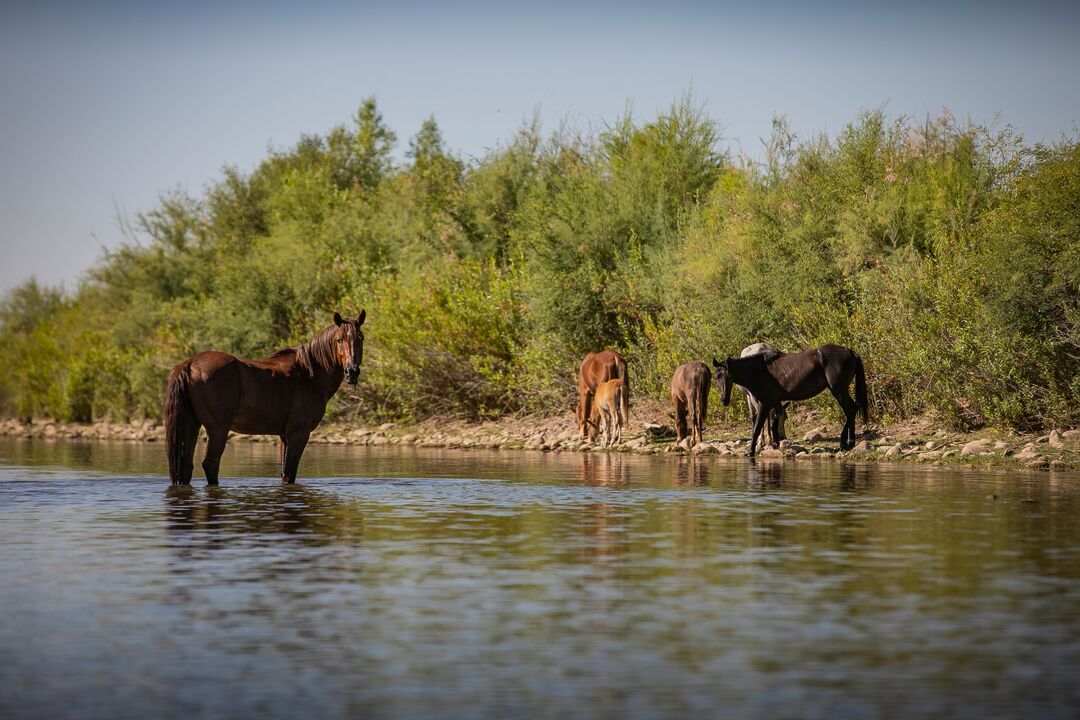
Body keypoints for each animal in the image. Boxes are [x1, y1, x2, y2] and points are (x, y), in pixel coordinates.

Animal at [163, 310, 367, 483]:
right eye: (339, 339)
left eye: (360, 339)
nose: (352, 372)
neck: (309, 375)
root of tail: (189, 364)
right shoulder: (298, 434)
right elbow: (290, 473)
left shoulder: (284, 436)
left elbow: (284, 473)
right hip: (217, 429)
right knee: (210, 464)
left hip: (192, 424)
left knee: (185, 467)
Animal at [708, 343, 868, 455]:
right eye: (716, 378)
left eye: (728, 377)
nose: (724, 400)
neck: (759, 371)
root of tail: (850, 352)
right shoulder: (774, 401)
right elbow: (774, 421)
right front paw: (775, 444)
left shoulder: (764, 403)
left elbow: (758, 427)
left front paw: (752, 451)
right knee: (852, 410)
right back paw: (847, 443)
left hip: (838, 391)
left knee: (850, 410)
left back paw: (847, 442)